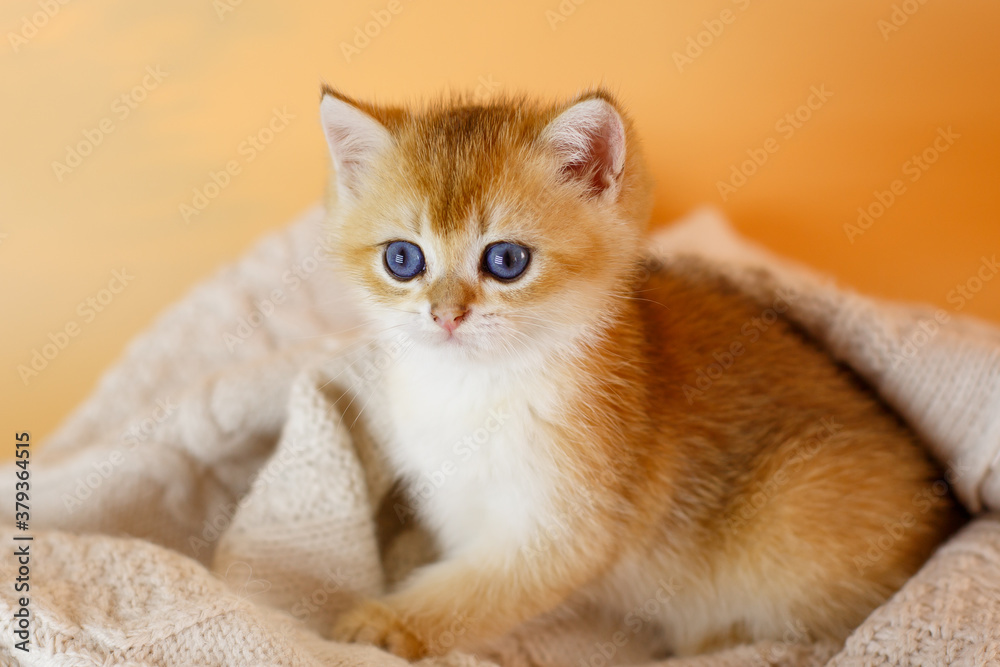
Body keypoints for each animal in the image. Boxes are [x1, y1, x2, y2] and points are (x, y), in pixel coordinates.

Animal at [320, 86, 960, 660]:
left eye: (506, 260)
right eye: (402, 259)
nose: (446, 315)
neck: (478, 387)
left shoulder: (565, 531)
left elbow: (467, 597)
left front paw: (381, 625)